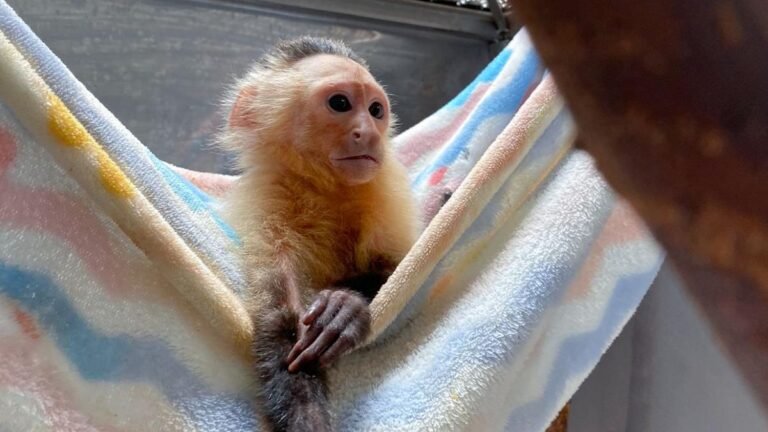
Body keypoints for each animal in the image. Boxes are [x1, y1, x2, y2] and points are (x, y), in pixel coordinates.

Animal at [219, 37, 419, 432]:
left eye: (376, 110)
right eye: (340, 103)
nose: (369, 133)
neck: (324, 188)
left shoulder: (385, 194)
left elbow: (397, 266)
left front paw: (345, 306)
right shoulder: (269, 204)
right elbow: (282, 320)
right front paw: (307, 417)